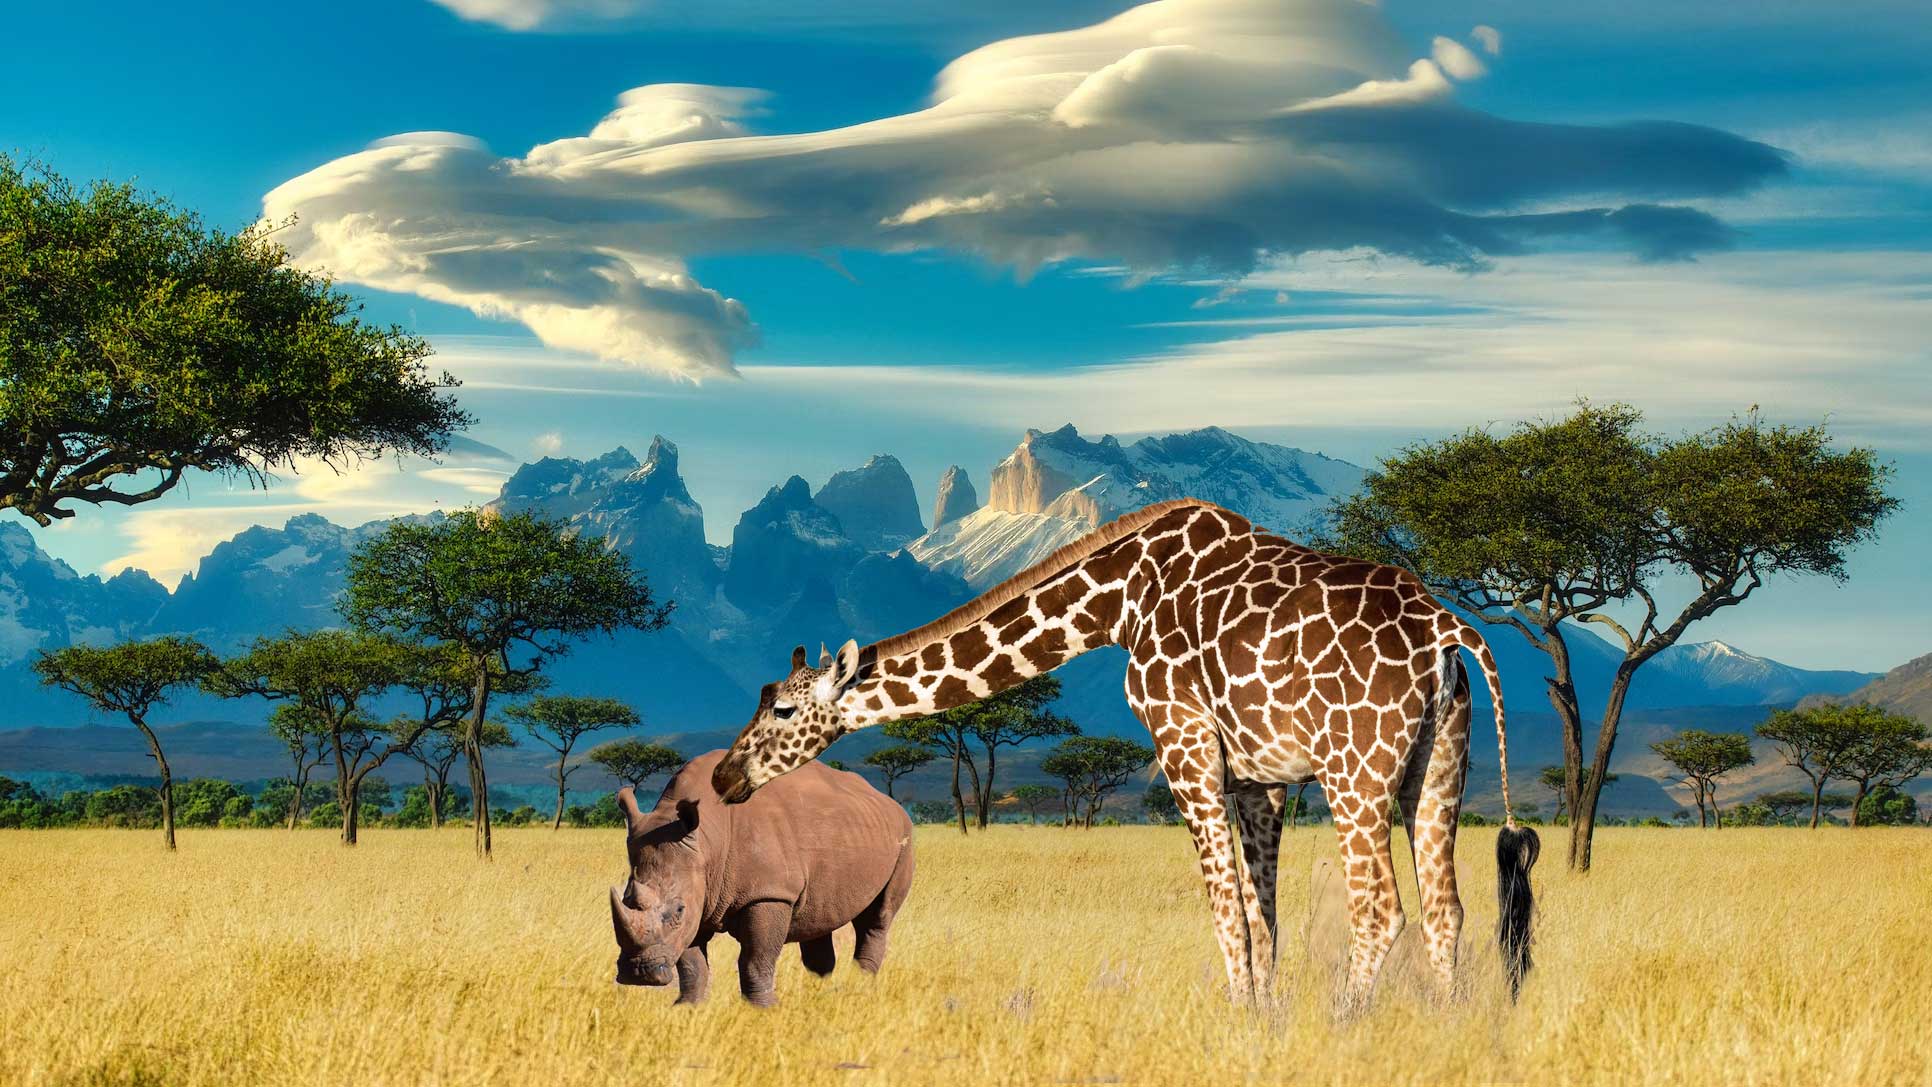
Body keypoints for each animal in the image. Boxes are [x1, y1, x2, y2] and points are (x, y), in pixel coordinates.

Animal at [608, 749, 915, 1006]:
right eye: (625, 898)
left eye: (678, 910)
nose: (637, 973)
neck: (708, 841)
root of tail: (888, 802)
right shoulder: (700, 891)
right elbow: (691, 963)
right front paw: (686, 1009)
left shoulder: (769, 893)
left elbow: (755, 961)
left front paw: (762, 1010)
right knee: (819, 919)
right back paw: (818, 998)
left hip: (904, 837)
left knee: (876, 919)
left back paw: (860, 993)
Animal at [712, 499, 1539, 1005]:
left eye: (782, 707)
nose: (724, 775)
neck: (1118, 600)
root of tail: (1449, 630)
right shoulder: (1259, 776)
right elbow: (1260, 913)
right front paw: (1265, 1019)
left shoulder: (1183, 741)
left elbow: (1227, 913)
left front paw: (1241, 1023)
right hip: (1436, 763)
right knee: (1446, 908)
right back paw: (1446, 1028)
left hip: (1355, 770)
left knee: (1379, 907)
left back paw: (1346, 1023)